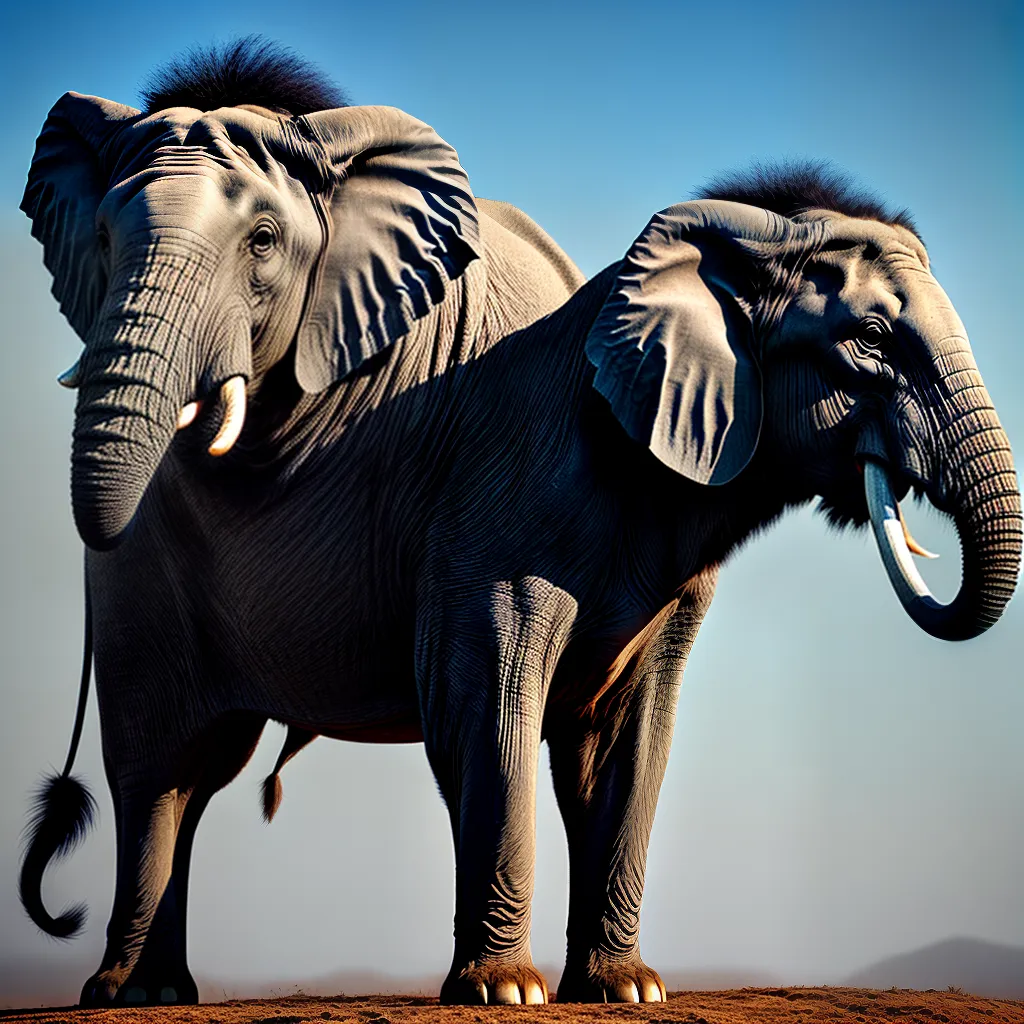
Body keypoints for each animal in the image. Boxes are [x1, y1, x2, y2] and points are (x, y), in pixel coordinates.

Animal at [20, 43, 1022, 1010]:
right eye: (873, 341)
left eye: (265, 242)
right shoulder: (497, 503)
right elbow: (485, 707)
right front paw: (505, 991)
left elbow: (625, 741)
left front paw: (626, 990)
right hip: (141, 578)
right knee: (158, 769)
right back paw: (133, 992)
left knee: (191, 775)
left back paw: (156, 987)